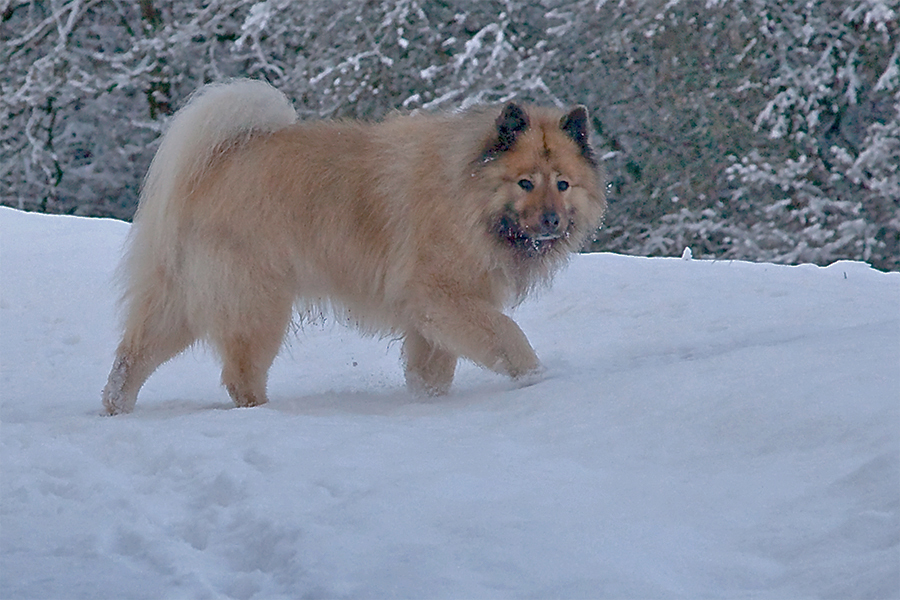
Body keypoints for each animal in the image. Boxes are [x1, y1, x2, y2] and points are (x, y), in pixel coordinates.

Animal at [102, 79, 608, 414]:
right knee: (239, 375)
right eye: (525, 183)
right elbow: (507, 334)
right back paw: (263, 412)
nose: (552, 221)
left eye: (563, 184)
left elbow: (432, 371)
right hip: (257, 304)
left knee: (132, 356)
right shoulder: (442, 298)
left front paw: (428, 404)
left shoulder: (430, 320)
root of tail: (214, 164)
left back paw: (115, 408)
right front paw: (536, 378)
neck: (466, 194)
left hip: (181, 301)